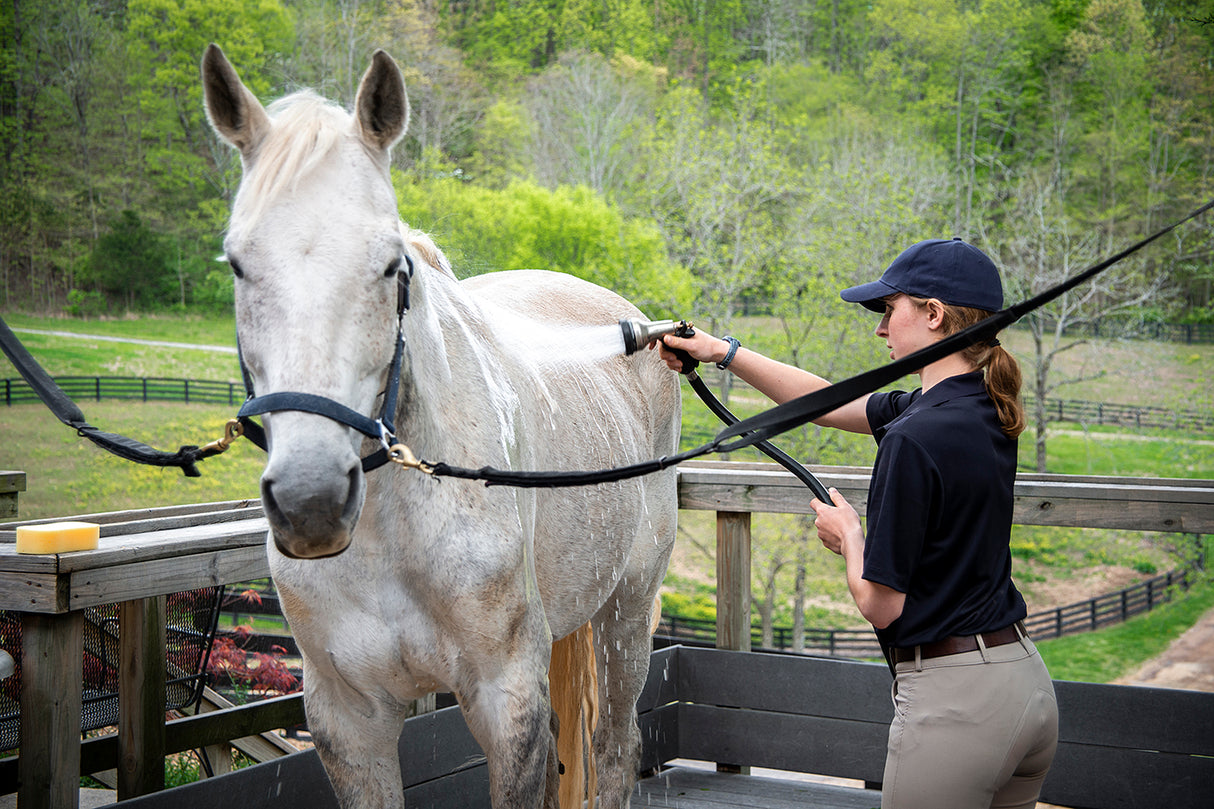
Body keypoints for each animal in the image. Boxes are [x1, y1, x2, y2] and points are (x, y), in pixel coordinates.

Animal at [200, 45, 684, 806]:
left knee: (614, 749)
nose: (311, 500)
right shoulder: (348, 719)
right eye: (239, 264)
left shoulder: (504, 698)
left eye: (389, 265)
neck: (392, 534)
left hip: (627, 613)